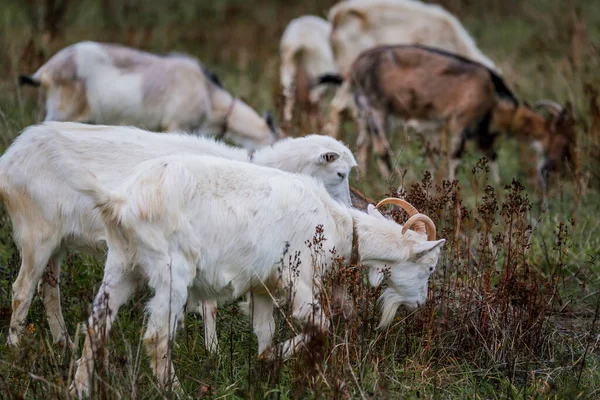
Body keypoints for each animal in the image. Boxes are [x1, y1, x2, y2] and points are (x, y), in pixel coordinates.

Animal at [0, 121, 356, 346]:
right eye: (340, 173)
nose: (348, 212)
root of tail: (10, 157)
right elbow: (210, 305)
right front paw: (212, 349)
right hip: (36, 233)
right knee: (22, 290)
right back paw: (16, 346)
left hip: (58, 242)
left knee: (49, 290)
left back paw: (62, 342)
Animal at [69, 154, 446, 396]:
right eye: (429, 267)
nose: (420, 304)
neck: (337, 225)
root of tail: (121, 201)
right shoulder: (299, 276)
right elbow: (320, 323)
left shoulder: (263, 286)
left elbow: (265, 333)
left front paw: (267, 364)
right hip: (171, 270)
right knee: (157, 337)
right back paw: (174, 391)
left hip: (122, 265)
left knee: (96, 324)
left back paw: (78, 388)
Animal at [332, 43, 576, 188]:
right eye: (564, 141)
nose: (563, 170)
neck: (493, 96)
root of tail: (354, 68)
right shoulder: (463, 120)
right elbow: (456, 157)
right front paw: (452, 188)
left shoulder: (482, 130)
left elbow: (492, 155)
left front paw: (497, 185)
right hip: (377, 108)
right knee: (381, 149)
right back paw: (394, 184)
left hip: (364, 110)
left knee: (363, 144)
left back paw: (364, 180)